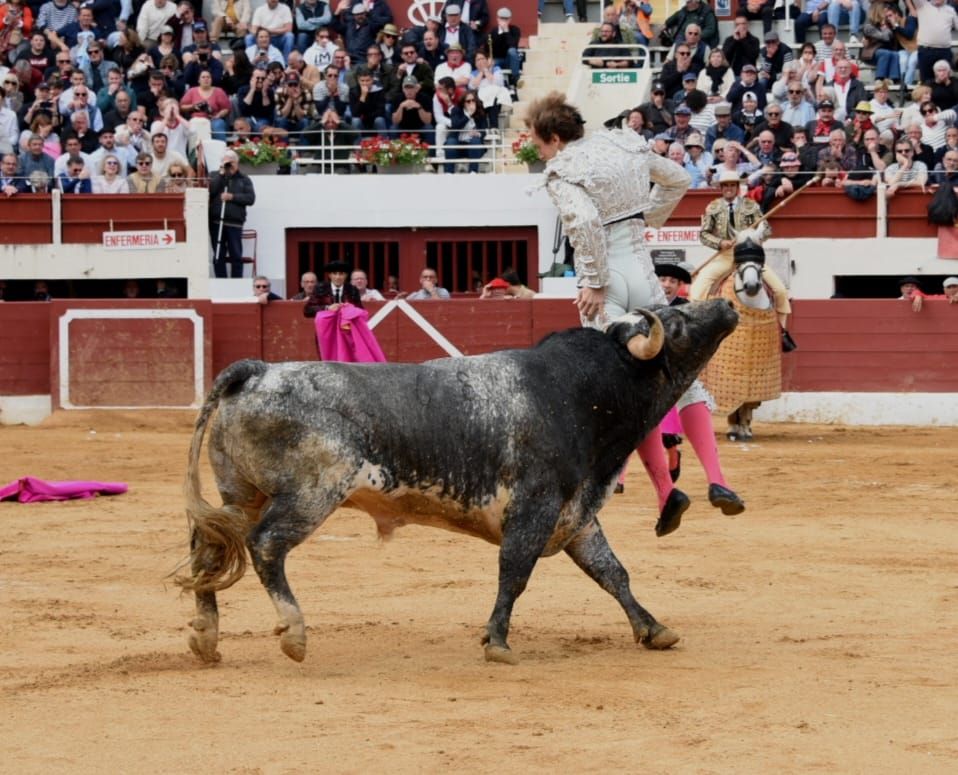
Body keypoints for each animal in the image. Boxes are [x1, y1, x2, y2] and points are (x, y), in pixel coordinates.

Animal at [176, 300, 740, 664]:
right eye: (679, 320)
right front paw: (498, 643)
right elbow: (515, 572)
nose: (725, 305)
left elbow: (612, 573)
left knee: (209, 551)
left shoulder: (576, 513)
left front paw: (654, 629)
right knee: (265, 546)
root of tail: (257, 370)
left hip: (241, 494)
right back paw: (294, 634)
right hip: (309, 495)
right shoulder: (535, 508)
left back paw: (206, 639)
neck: (585, 391)